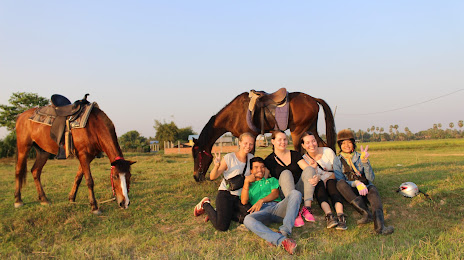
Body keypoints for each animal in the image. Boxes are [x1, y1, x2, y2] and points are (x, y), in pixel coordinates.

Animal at [190, 90, 336, 182]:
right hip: (310, 130)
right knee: (322, 146)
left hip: (298, 132)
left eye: (197, 155)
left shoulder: (250, 136)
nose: (196, 177)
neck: (234, 114)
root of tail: (313, 99)